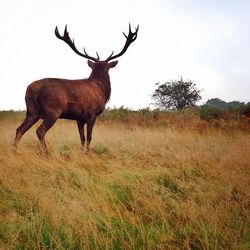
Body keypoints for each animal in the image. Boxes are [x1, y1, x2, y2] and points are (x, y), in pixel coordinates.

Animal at [13, 23, 139, 152]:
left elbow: (82, 138)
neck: (102, 90)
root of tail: (31, 89)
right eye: (107, 68)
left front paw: (82, 152)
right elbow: (89, 137)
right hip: (53, 110)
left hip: (32, 111)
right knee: (40, 131)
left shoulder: (80, 118)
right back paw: (46, 153)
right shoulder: (92, 113)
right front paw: (88, 153)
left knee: (19, 129)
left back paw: (15, 151)